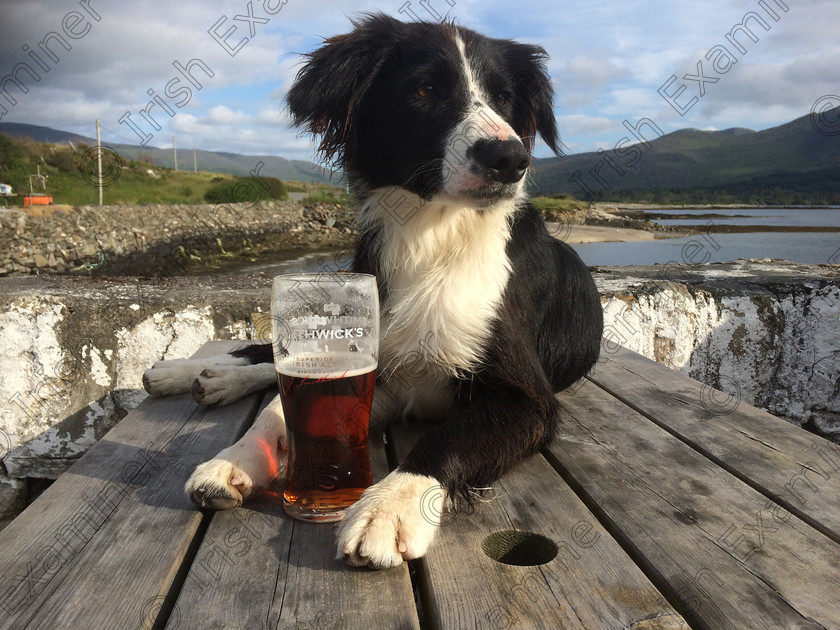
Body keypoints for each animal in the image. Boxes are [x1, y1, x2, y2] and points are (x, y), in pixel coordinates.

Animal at [146, 13, 604, 568]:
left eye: (505, 98)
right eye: (424, 90)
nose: (509, 158)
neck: (432, 234)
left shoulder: (528, 400)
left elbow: (445, 438)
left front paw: (390, 506)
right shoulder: (377, 369)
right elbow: (281, 412)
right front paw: (234, 458)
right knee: (269, 356)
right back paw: (192, 371)